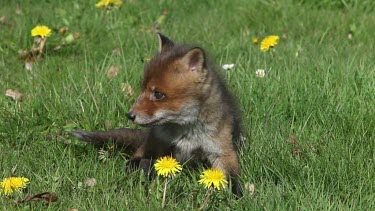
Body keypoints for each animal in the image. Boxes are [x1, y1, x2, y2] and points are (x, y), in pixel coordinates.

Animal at [71, 33, 244, 196]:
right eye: (142, 89)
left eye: (158, 94)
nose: (130, 115)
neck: (187, 132)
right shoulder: (157, 146)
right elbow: (147, 168)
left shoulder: (222, 151)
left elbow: (231, 179)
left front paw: (237, 196)